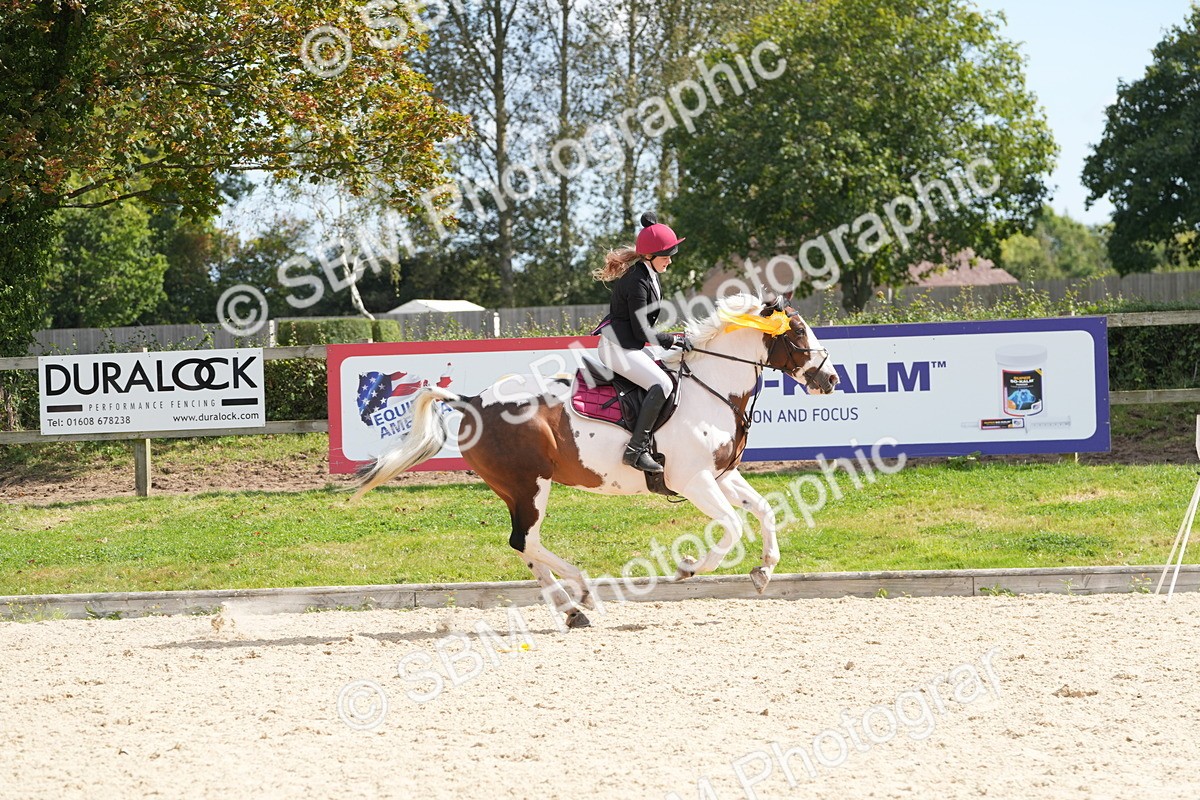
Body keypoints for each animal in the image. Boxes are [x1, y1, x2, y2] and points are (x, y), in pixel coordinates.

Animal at [353, 293, 839, 627]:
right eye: (798, 332)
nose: (831, 379)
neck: (711, 388)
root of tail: (473, 401)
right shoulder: (694, 480)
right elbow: (733, 525)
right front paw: (688, 568)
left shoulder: (722, 475)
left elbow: (764, 511)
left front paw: (763, 571)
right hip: (530, 485)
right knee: (525, 540)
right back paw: (576, 597)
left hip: (515, 489)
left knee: (525, 545)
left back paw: (575, 602)